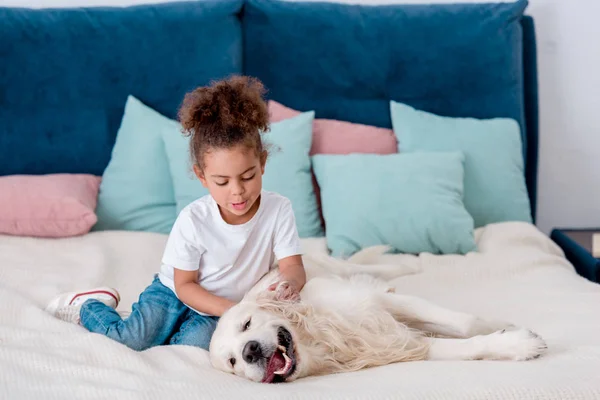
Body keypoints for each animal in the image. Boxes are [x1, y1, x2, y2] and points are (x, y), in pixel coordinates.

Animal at [209, 244, 548, 384]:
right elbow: (461, 345)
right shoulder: (404, 345)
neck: (322, 337)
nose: (251, 351)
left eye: (247, 324)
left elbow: (465, 322)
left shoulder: (375, 304)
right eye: (233, 362)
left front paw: (501, 325)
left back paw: (407, 264)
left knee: (367, 268)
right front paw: (516, 343)